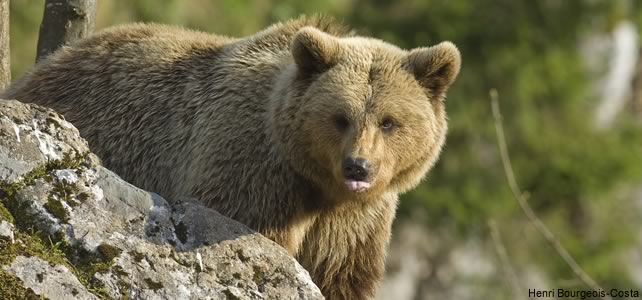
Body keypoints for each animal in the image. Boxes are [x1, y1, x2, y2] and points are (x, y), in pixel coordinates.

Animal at [2, 17, 458, 300]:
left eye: (388, 121)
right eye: (340, 117)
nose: (358, 166)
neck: (315, 182)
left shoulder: (353, 222)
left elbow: (340, 275)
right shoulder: (252, 174)